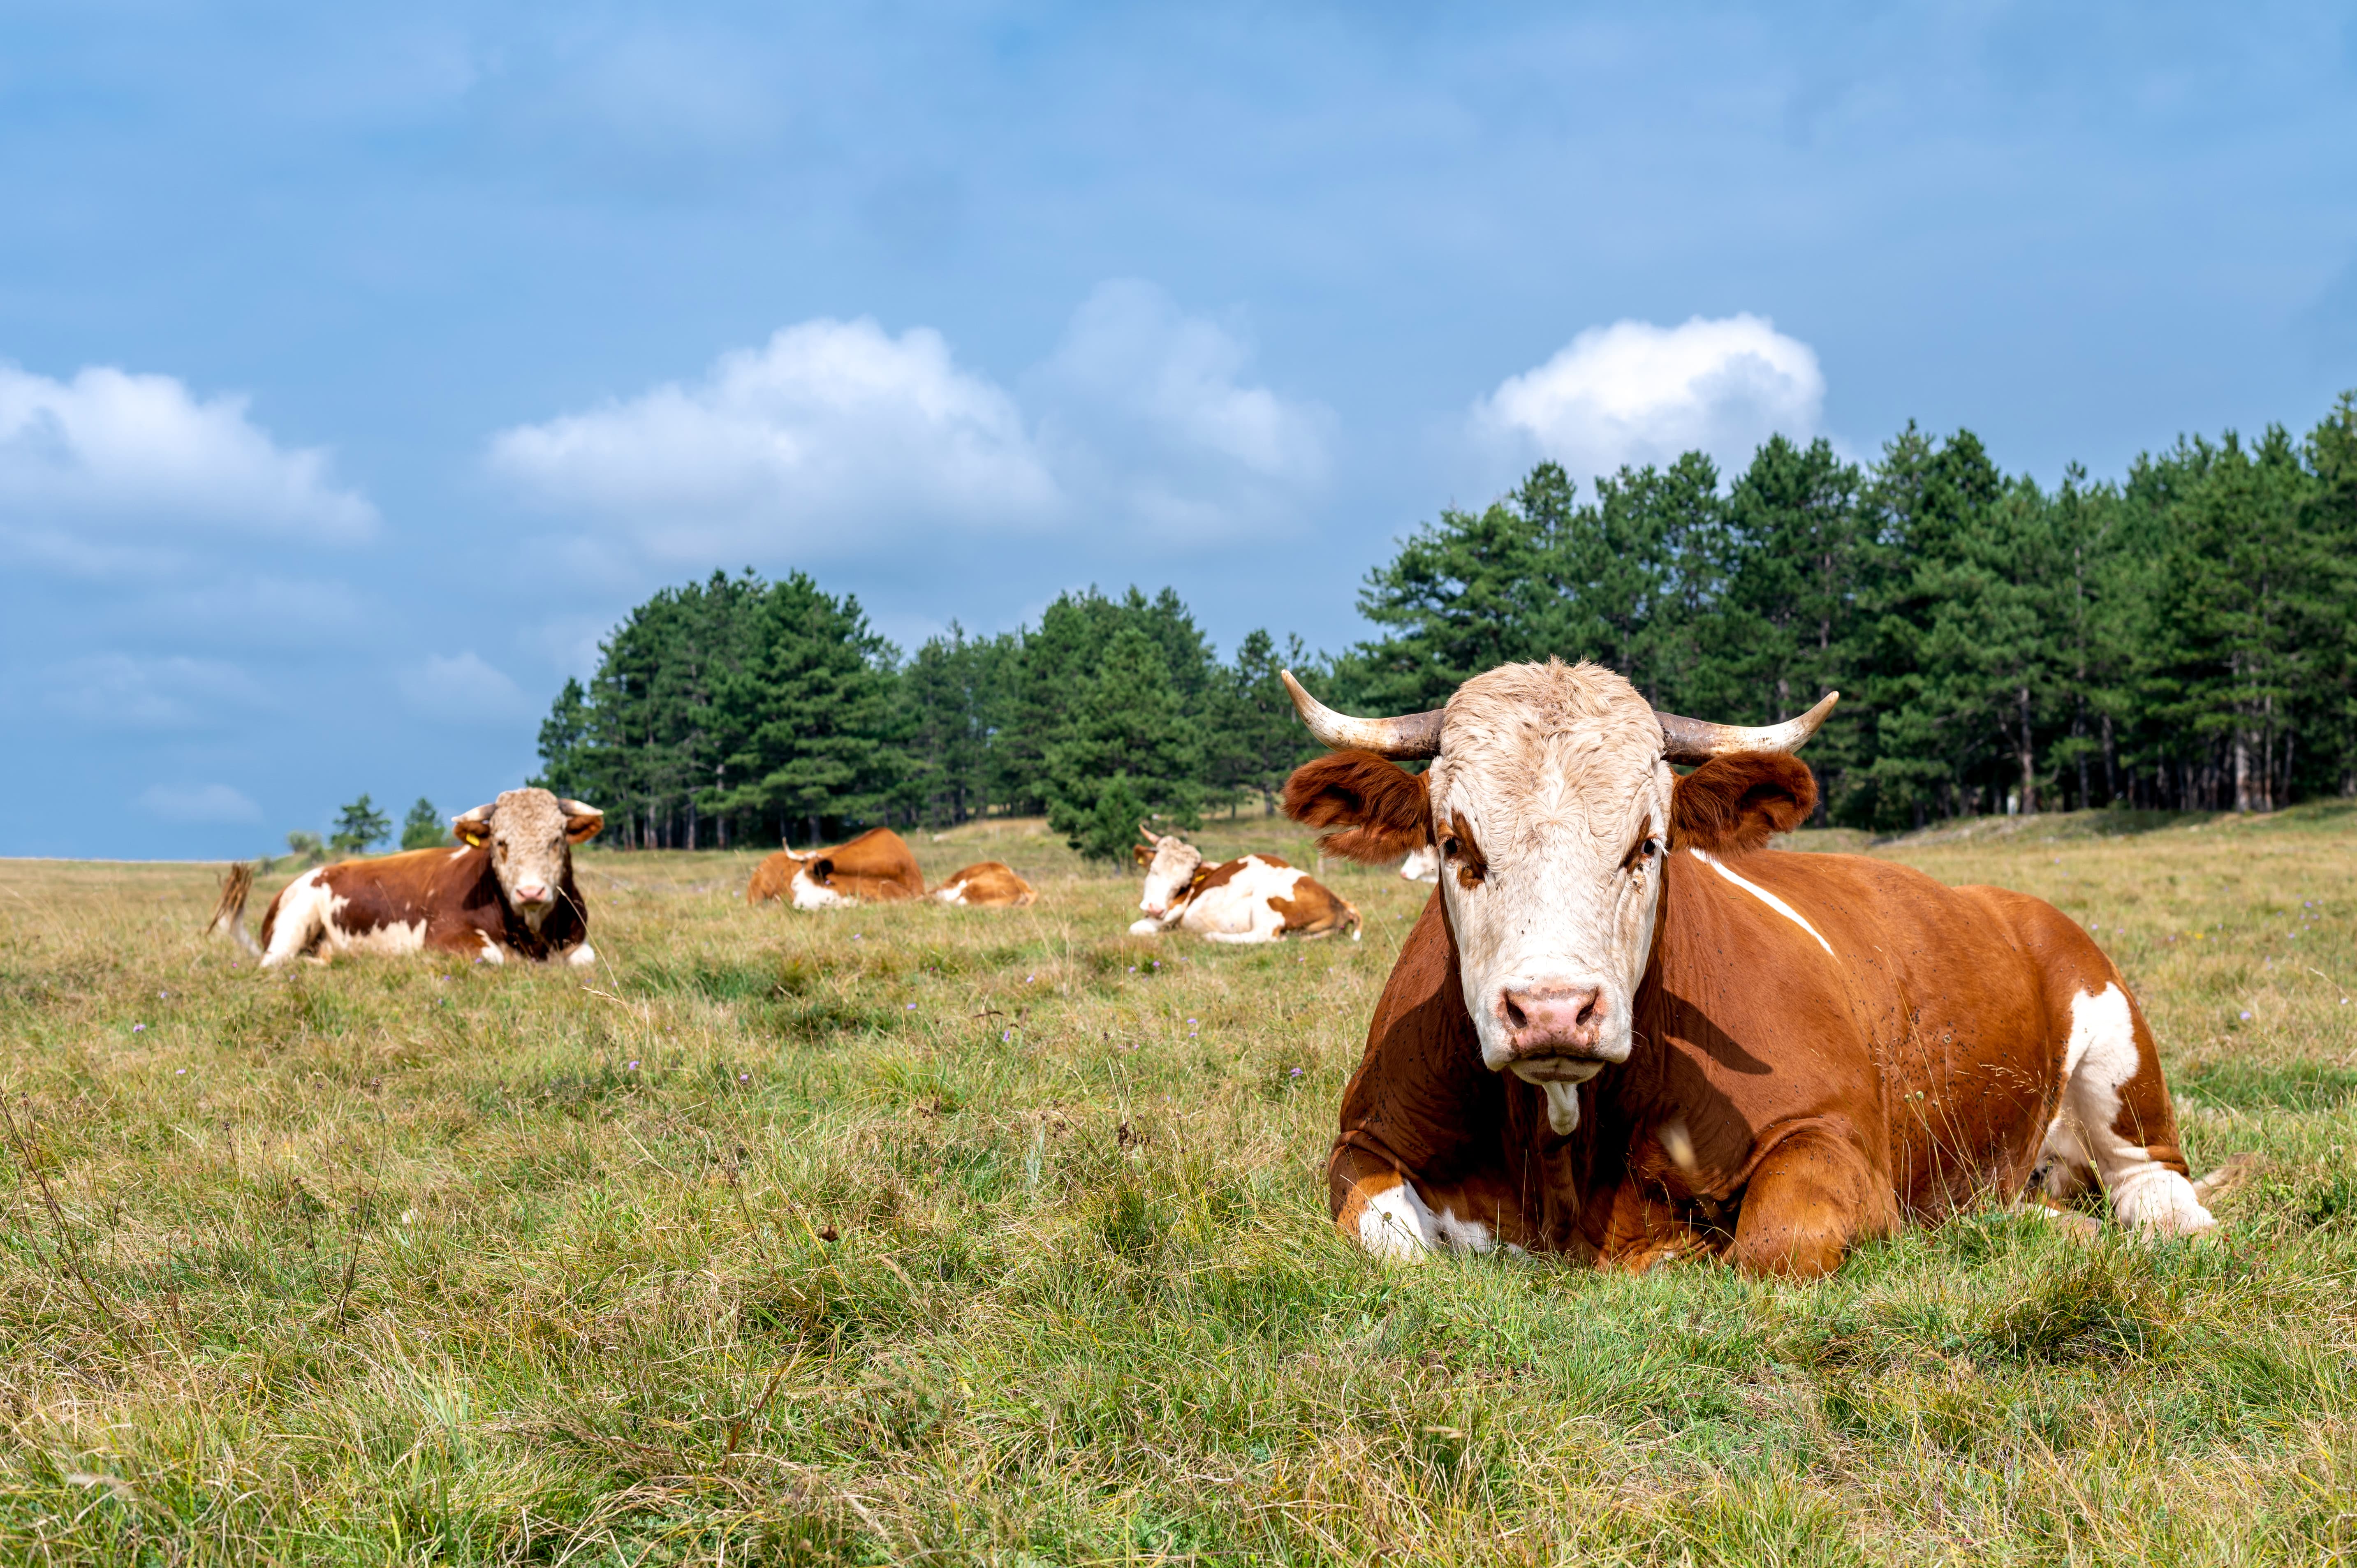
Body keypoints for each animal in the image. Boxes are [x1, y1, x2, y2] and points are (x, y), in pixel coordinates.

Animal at [217, 783, 598, 967]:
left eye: (556, 840)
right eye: (501, 843)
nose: (530, 893)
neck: (532, 937)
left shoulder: (577, 940)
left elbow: (585, 959)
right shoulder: (442, 937)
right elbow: (494, 956)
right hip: (294, 922)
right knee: (274, 963)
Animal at [1126, 830, 1367, 943]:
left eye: (1183, 884)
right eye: (1153, 869)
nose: (1155, 908)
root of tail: (1339, 903)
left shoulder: (1174, 912)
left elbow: (1135, 929)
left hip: (1265, 897)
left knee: (1265, 936)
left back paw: (1211, 937)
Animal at [1282, 655, 2234, 1283]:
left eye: (1648, 842)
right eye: (1454, 841)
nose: (1553, 1010)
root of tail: (2007, 899)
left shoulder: (1833, 1137)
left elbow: (1774, 1241)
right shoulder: (1363, 1141)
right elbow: (1391, 1241)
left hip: (2114, 1041)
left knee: (2153, 1180)